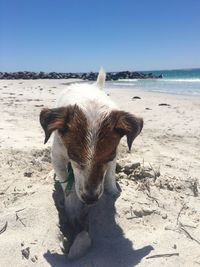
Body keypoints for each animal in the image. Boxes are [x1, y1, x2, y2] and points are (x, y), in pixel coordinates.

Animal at [39, 68, 142, 260]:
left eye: (108, 157)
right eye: (74, 157)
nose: (90, 199)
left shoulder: (114, 155)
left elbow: (109, 175)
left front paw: (112, 190)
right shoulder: (58, 157)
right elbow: (69, 188)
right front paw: (72, 208)